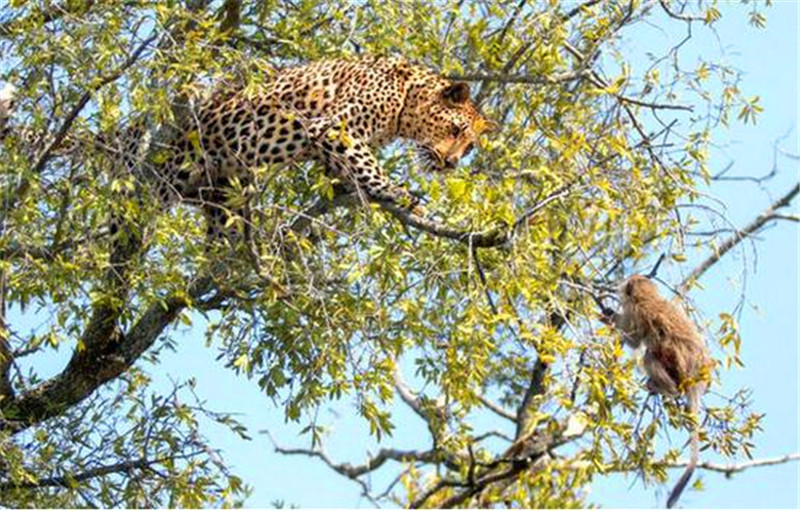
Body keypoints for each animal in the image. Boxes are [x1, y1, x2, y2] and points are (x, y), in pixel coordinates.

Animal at [3, 57, 496, 245]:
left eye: (470, 146)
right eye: (454, 130)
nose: (451, 163)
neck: (404, 102)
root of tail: (133, 128)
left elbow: (347, 168)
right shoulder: (334, 127)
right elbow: (368, 166)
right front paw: (398, 192)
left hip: (217, 185)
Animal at [604, 276, 708, 508]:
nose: (619, 287)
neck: (647, 297)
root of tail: (694, 380)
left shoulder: (635, 311)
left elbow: (633, 339)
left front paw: (610, 316)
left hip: (676, 369)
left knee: (650, 354)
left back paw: (667, 388)